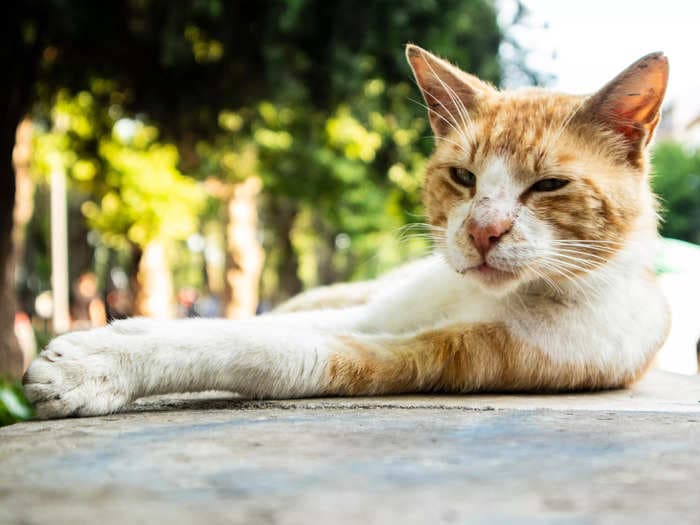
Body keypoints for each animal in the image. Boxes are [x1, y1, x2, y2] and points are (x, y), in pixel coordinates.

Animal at [23, 45, 672, 418]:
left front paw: (98, 364)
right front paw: (125, 338)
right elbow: (253, 325)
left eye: (549, 185)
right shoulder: (374, 313)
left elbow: (269, 350)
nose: (483, 231)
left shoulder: (447, 355)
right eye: (462, 176)